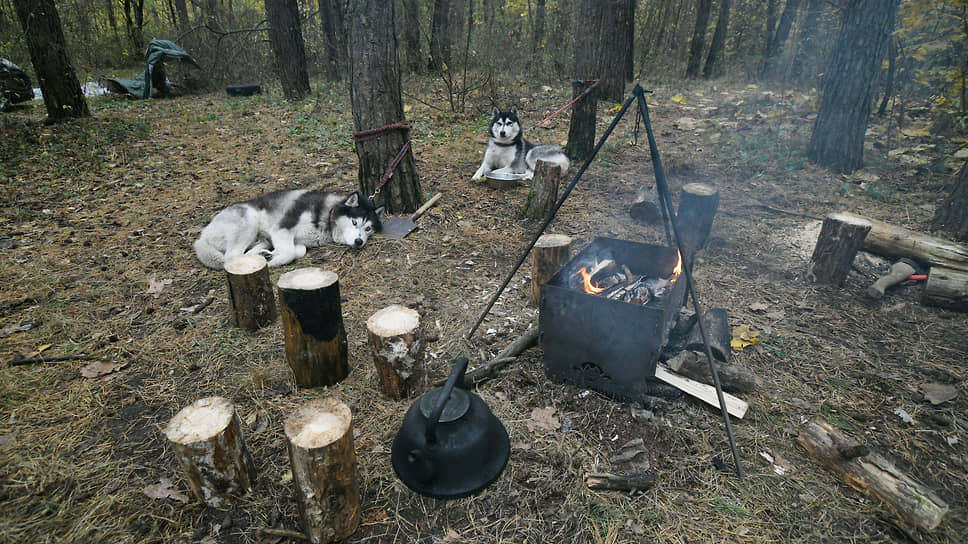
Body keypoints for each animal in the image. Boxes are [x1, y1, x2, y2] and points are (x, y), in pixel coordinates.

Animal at [193, 190, 382, 268]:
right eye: (354, 222)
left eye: (368, 229)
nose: (359, 241)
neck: (328, 214)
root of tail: (202, 236)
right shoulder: (282, 228)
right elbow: (290, 252)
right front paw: (273, 262)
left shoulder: (293, 239)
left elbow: (299, 250)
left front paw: (272, 255)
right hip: (248, 221)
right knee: (231, 256)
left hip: (261, 238)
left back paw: (261, 254)